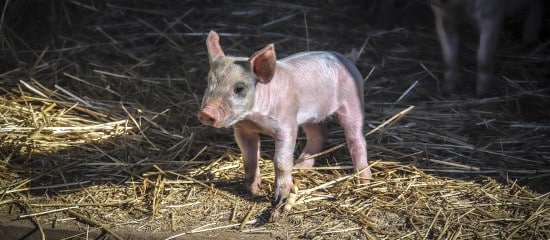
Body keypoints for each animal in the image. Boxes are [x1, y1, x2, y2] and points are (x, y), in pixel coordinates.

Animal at [196, 31, 374, 218]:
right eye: (209, 82)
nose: (206, 113)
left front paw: (280, 199)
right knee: (319, 134)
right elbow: (249, 158)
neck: (255, 118)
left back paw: (363, 181)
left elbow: (280, 162)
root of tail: (348, 60)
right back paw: (299, 167)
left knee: (356, 139)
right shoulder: (243, 129)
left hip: (352, 101)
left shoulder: (287, 125)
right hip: (309, 116)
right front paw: (251, 190)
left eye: (239, 88)